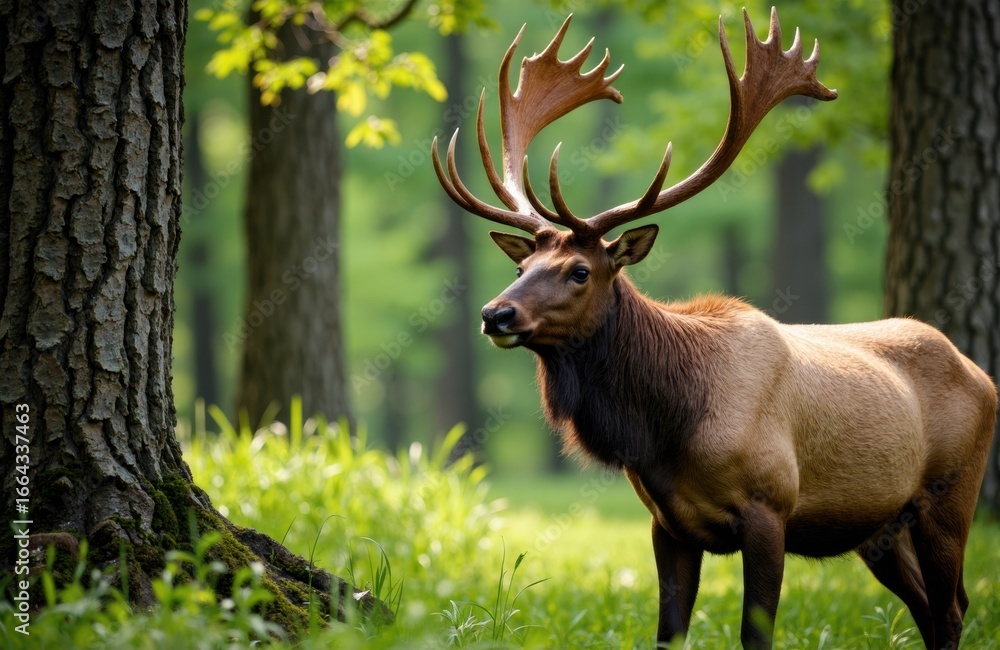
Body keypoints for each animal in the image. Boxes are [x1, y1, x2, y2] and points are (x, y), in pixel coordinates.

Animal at [431, 8, 997, 650]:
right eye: (521, 267)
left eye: (579, 270)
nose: (494, 314)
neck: (666, 428)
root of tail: (982, 375)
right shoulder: (667, 523)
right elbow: (668, 632)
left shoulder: (770, 506)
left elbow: (757, 632)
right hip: (879, 528)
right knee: (929, 607)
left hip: (950, 496)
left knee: (952, 605)